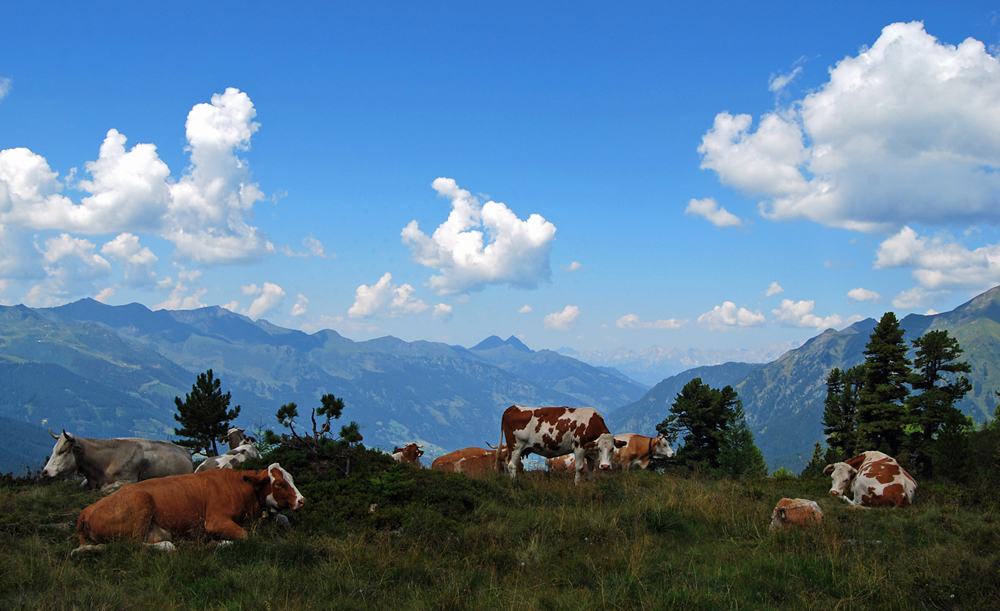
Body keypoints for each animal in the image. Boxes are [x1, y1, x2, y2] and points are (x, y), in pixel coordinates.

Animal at [41, 430, 193, 492]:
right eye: (54, 449)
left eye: (62, 451)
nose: (45, 471)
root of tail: (185, 449)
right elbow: (81, 486)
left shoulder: (130, 480)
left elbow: (104, 489)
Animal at [74, 464, 304, 556]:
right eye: (279, 484)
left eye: (292, 479)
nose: (301, 501)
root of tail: (88, 509)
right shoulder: (215, 521)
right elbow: (246, 537)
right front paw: (217, 544)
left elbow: (283, 519)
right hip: (140, 504)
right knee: (130, 546)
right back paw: (170, 546)